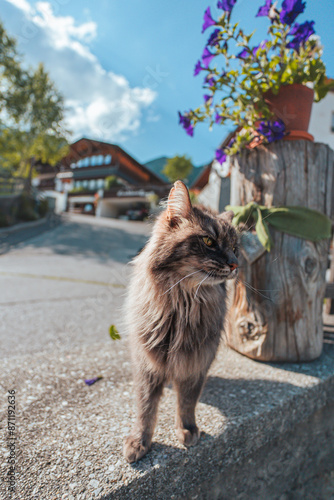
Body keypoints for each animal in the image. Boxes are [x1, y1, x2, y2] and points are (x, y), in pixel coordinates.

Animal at [122, 181, 237, 464]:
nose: (235, 264)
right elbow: (145, 408)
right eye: (209, 241)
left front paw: (187, 430)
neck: (184, 306)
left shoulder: (196, 363)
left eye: (235, 247)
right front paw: (139, 442)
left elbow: (187, 403)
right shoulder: (147, 365)